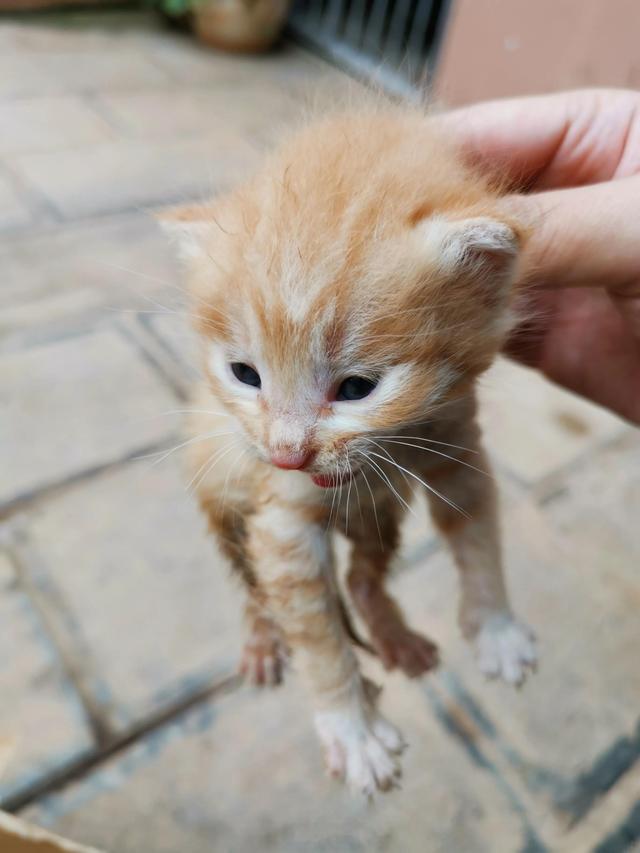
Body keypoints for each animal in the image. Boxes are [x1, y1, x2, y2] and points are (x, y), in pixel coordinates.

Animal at [160, 108, 536, 800]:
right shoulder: (280, 521)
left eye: (358, 388)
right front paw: (352, 727)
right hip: (220, 492)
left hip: (380, 510)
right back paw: (263, 638)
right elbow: (315, 631)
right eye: (244, 374)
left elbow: (478, 536)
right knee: (248, 581)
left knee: (363, 574)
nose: (287, 454)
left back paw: (393, 635)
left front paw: (495, 625)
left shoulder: (457, 447)